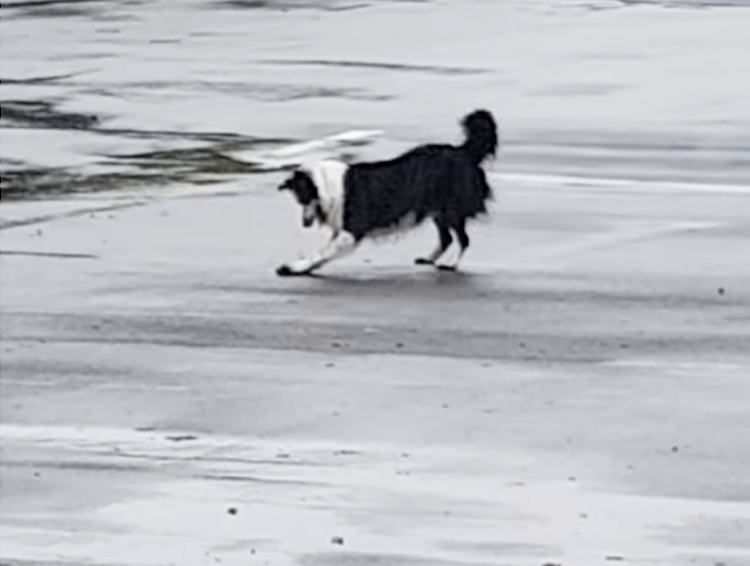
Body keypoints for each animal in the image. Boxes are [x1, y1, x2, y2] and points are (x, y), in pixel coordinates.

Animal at [276, 108, 500, 278]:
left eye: (302, 198)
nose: (305, 223)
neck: (324, 184)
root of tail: (464, 151)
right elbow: (324, 250)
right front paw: (306, 266)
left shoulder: (351, 230)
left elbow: (323, 251)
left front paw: (297, 267)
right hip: (438, 211)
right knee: (447, 239)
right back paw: (429, 258)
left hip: (451, 209)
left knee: (463, 239)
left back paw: (451, 264)